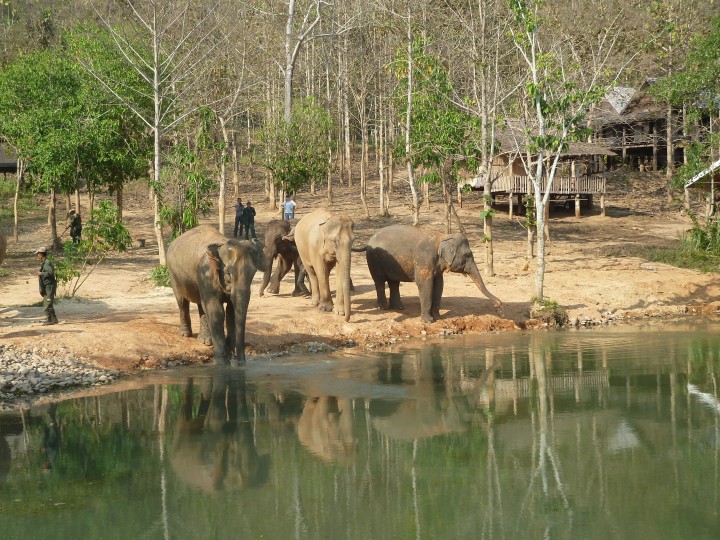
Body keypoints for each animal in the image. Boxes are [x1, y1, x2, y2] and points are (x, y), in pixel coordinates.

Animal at [166, 225, 266, 365]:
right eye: (229, 273)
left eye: (253, 273)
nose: (241, 362)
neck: (222, 244)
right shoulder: (206, 273)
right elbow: (216, 311)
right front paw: (223, 361)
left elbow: (231, 311)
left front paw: (230, 352)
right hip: (174, 275)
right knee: (182, 302)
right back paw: (186, 334)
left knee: (202, 304)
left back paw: (205, 341)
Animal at [353, 224, 501, 323]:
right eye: (468, 255)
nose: (498, 305)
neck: (442, 237)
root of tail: (368, 242)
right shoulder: (424, 259)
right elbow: (425, 284)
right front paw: (429, 321)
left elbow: (439, 285)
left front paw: (438, 317)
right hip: (373, 260)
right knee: (379, 281)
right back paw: (382, 308)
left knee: (394, 282)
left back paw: (399, 308)